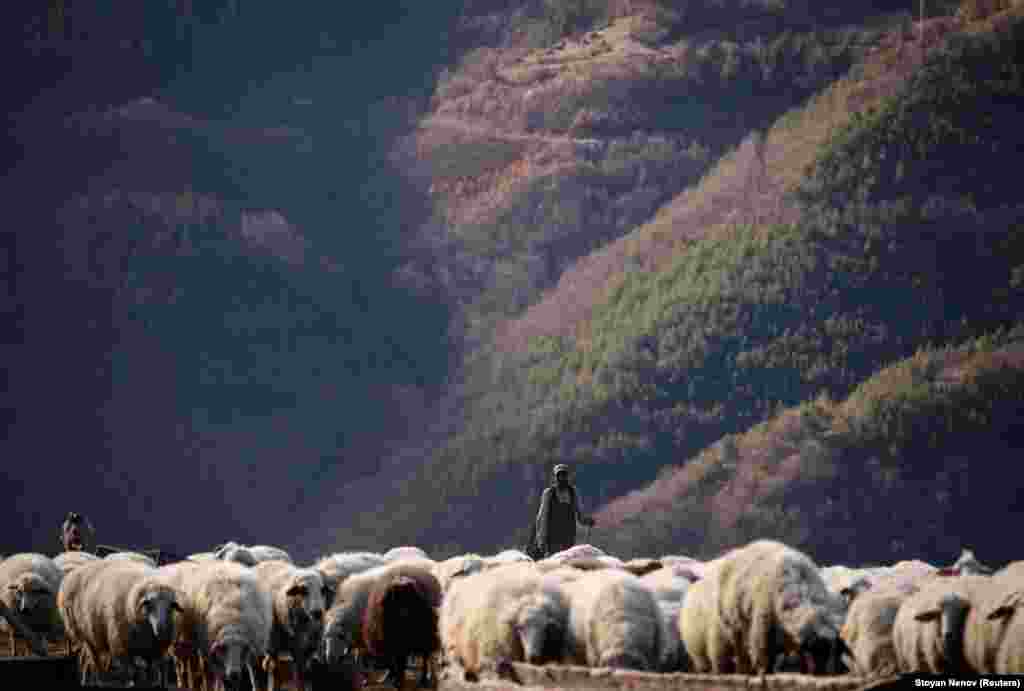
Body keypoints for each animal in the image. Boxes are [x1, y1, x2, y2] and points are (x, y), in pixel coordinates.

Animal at [679, 540, 847, 675]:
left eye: (829, 651)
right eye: (812, 649)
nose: (820, 673)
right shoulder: (763, 627)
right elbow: (764, 655)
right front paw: (765, 672)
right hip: (733, 627)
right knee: (740, 654)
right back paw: (743, 671)